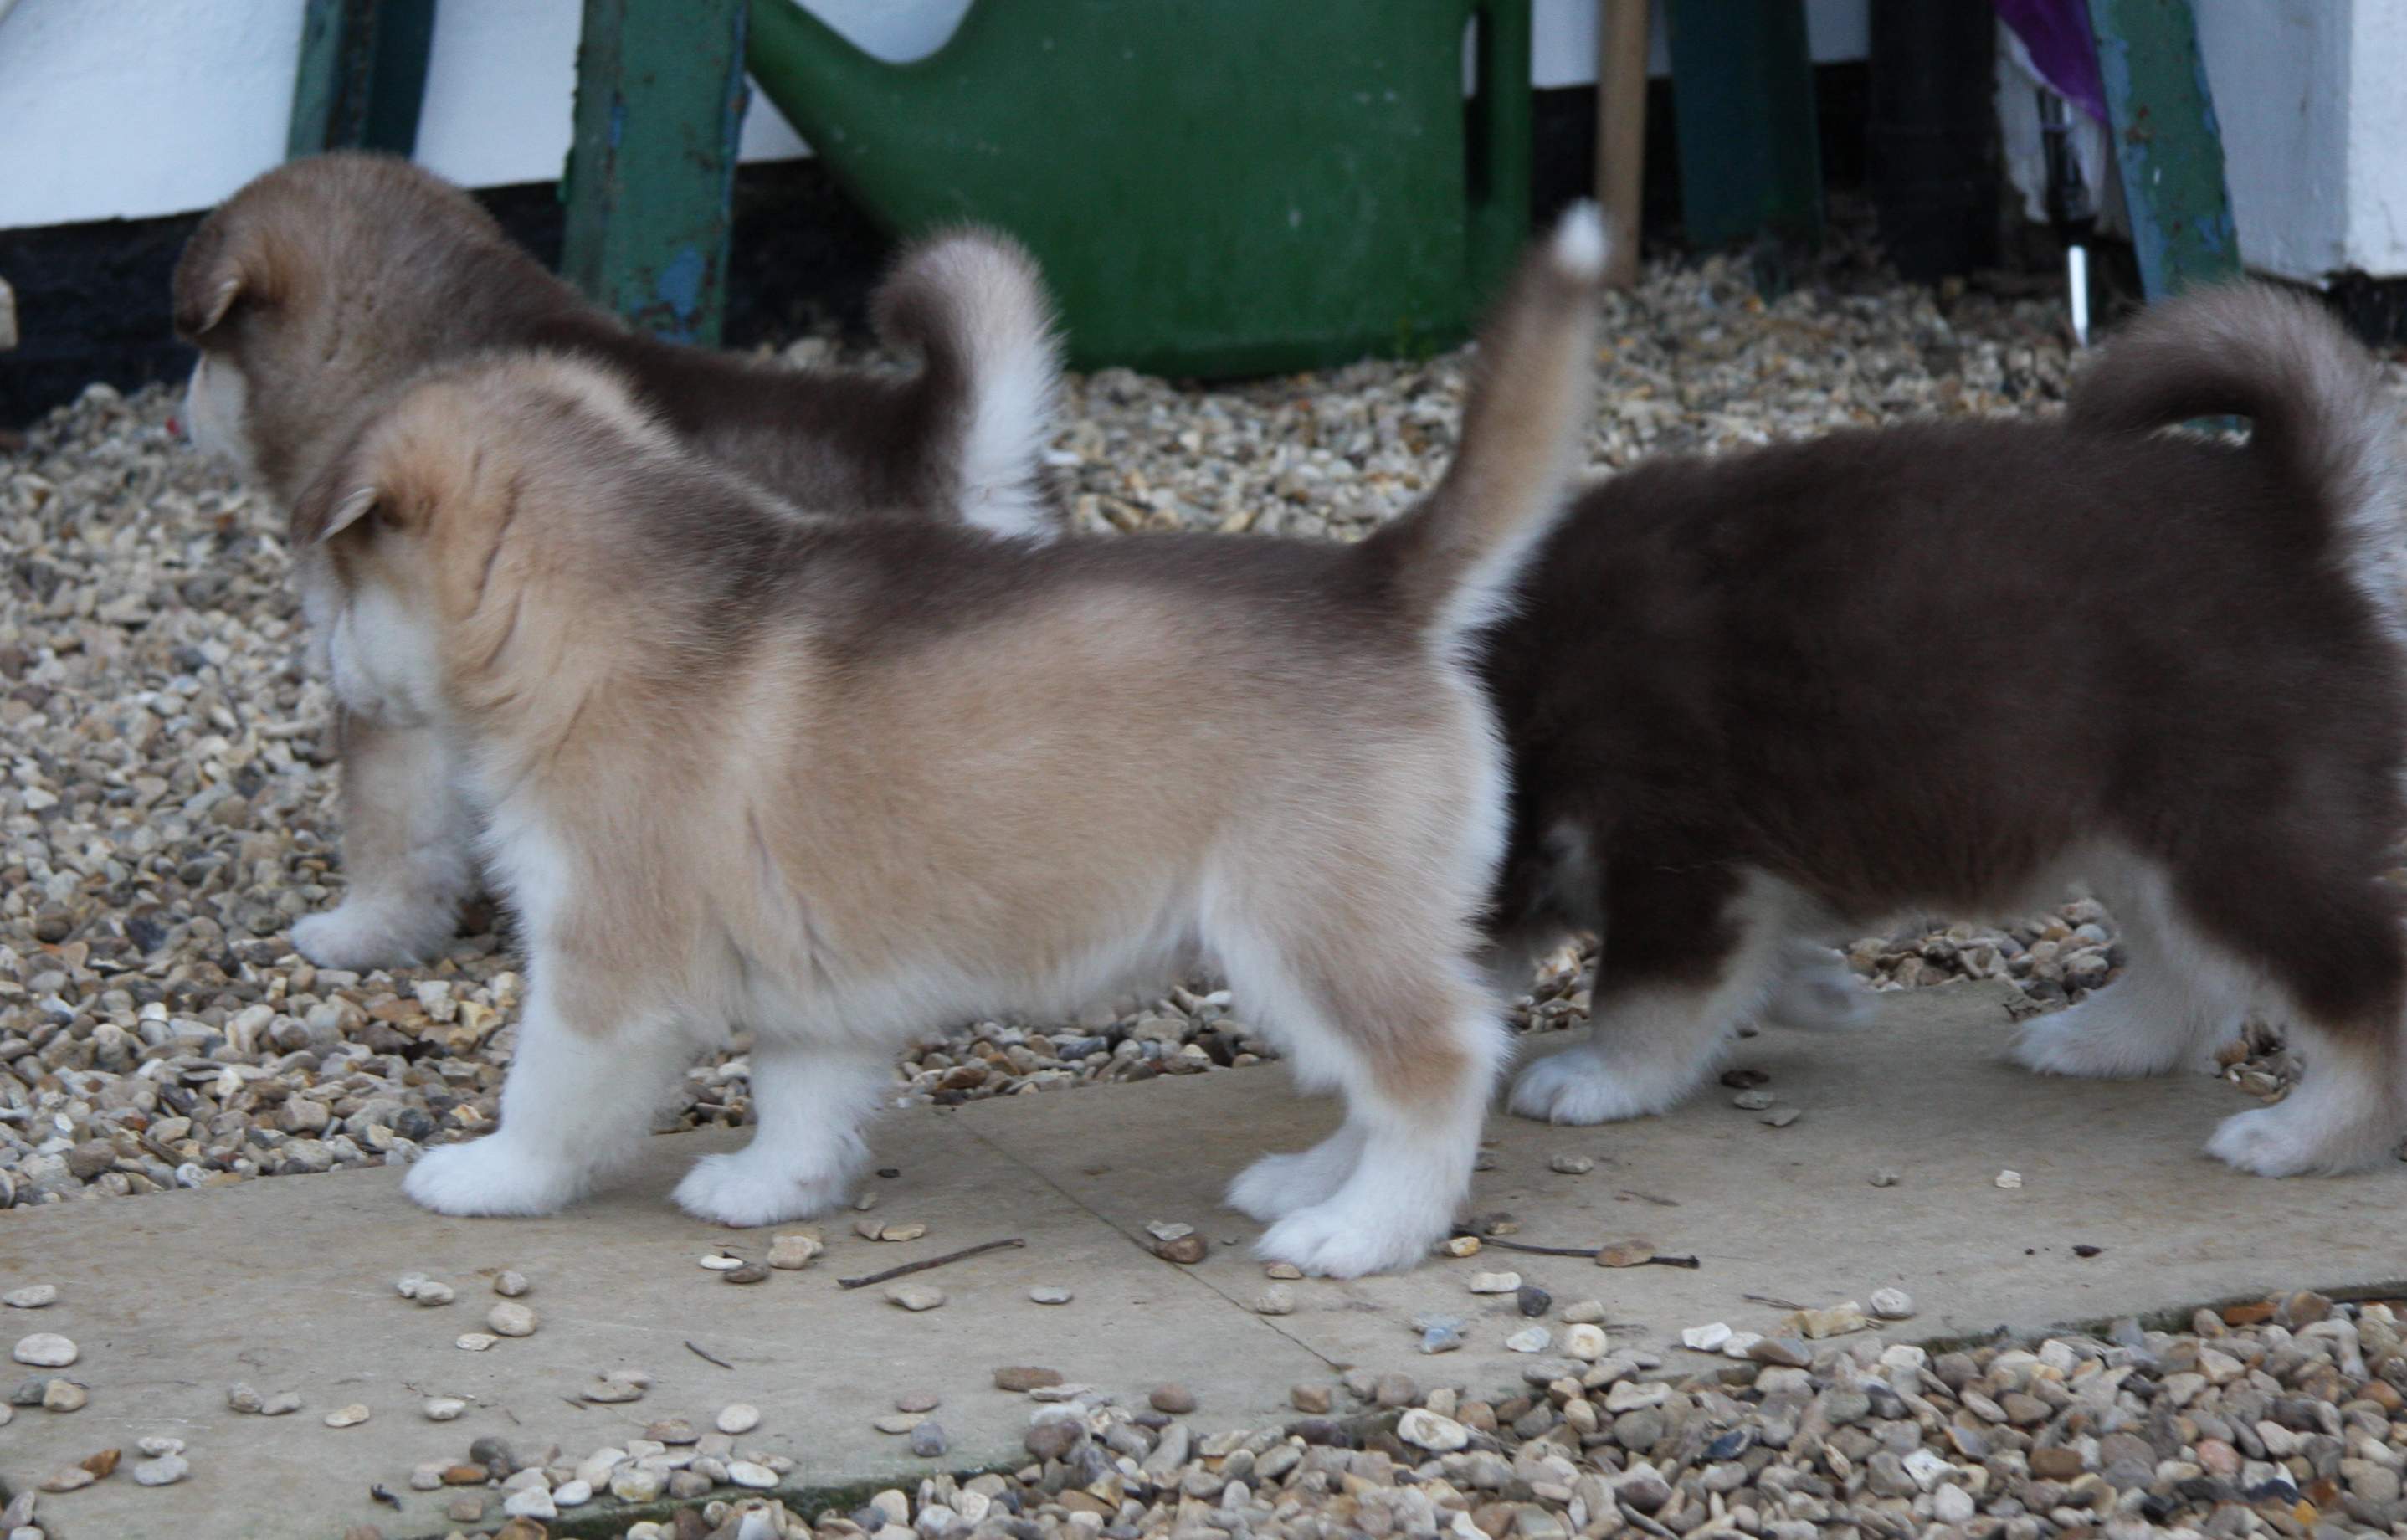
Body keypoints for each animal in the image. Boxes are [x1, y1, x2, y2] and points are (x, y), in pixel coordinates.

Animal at [281, 210, 1608, 1280]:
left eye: (337, 584)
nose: (331, 678)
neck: (601, 610)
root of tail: (1374, 587)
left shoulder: (605, 955)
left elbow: (549, 1088)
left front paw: (492, 1174)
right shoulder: (810, 962)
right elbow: (800, 1093)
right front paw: (770, 1188)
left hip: (1305, 928)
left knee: (1438, 1062)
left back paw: (1364, 1231)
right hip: (1335, 940)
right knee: (1389, 1068)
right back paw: (1311, 1179)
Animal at [1482, 286, 2407, 1178]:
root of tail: (2288, 519)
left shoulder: (1676, 859)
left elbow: (1644, 998)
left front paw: (1600, 1077)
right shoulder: (1731, 875)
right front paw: (1818, 991)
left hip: (2234, 828)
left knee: (2367, 986)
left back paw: (2310, 1136)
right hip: (2140, 831)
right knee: (2192, 970)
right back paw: (2099, 1042)